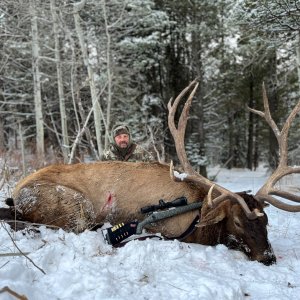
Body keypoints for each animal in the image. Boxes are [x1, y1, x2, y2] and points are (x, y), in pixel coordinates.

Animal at [2, 79, 300, 264]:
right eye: (238, 221)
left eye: (266, 221)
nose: (268, 257)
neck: (198, 215)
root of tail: (16, 194)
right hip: (76, 206)